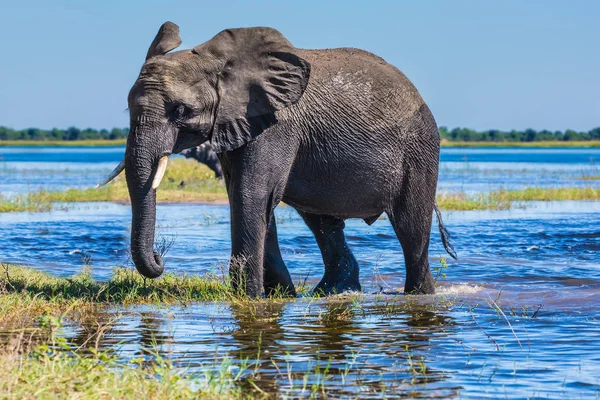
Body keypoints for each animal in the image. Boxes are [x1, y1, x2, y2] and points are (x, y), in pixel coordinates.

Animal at [99, 21, 454, 296]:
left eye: (181, 111)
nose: (160, 259)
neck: (217, 62)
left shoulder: (277, 123)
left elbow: (250, 194)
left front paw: (249, 297)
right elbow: (245, 197)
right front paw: (278, 296)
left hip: (420, 147)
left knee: (410, 226)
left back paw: (418, 295)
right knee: (323, 222)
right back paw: (333, 292)